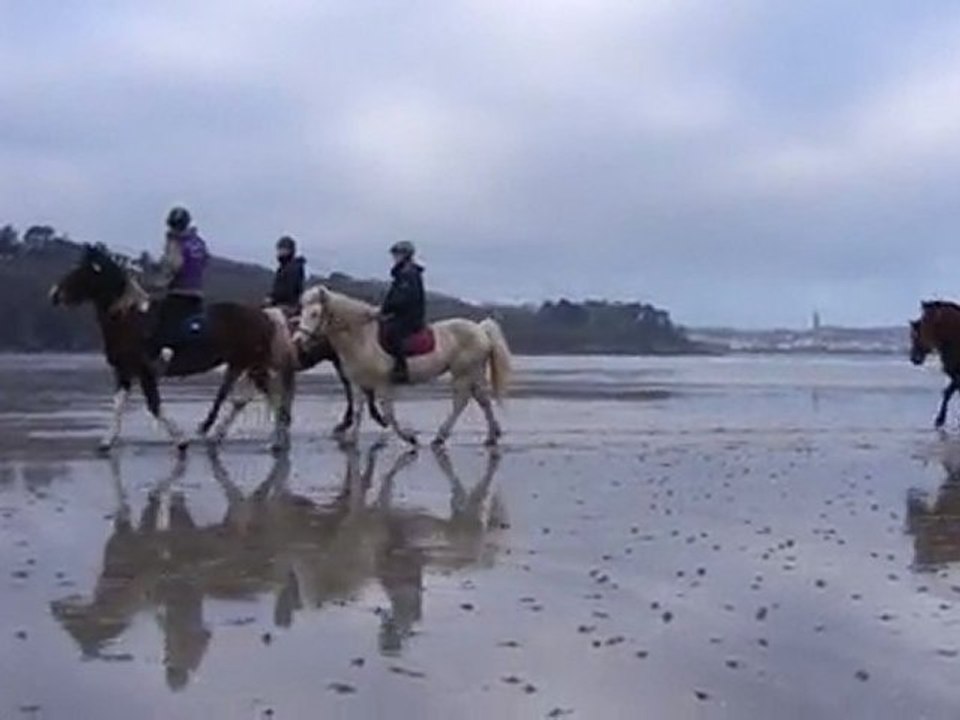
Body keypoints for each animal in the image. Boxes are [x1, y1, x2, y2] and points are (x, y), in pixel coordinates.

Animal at [295, 285, 512, 447]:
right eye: (301, 312)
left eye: (314, 313)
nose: (297, 340)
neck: (362, 338)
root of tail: (480, 329)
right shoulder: (358, 384)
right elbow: (358, 411)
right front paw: (352, 439)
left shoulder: (383, 385)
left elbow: (389, 415)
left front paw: (410, 438)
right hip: (473, 373)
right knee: (483, 400)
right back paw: (492, 435)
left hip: (463, 374)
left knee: (461, 402)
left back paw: (441, 436)